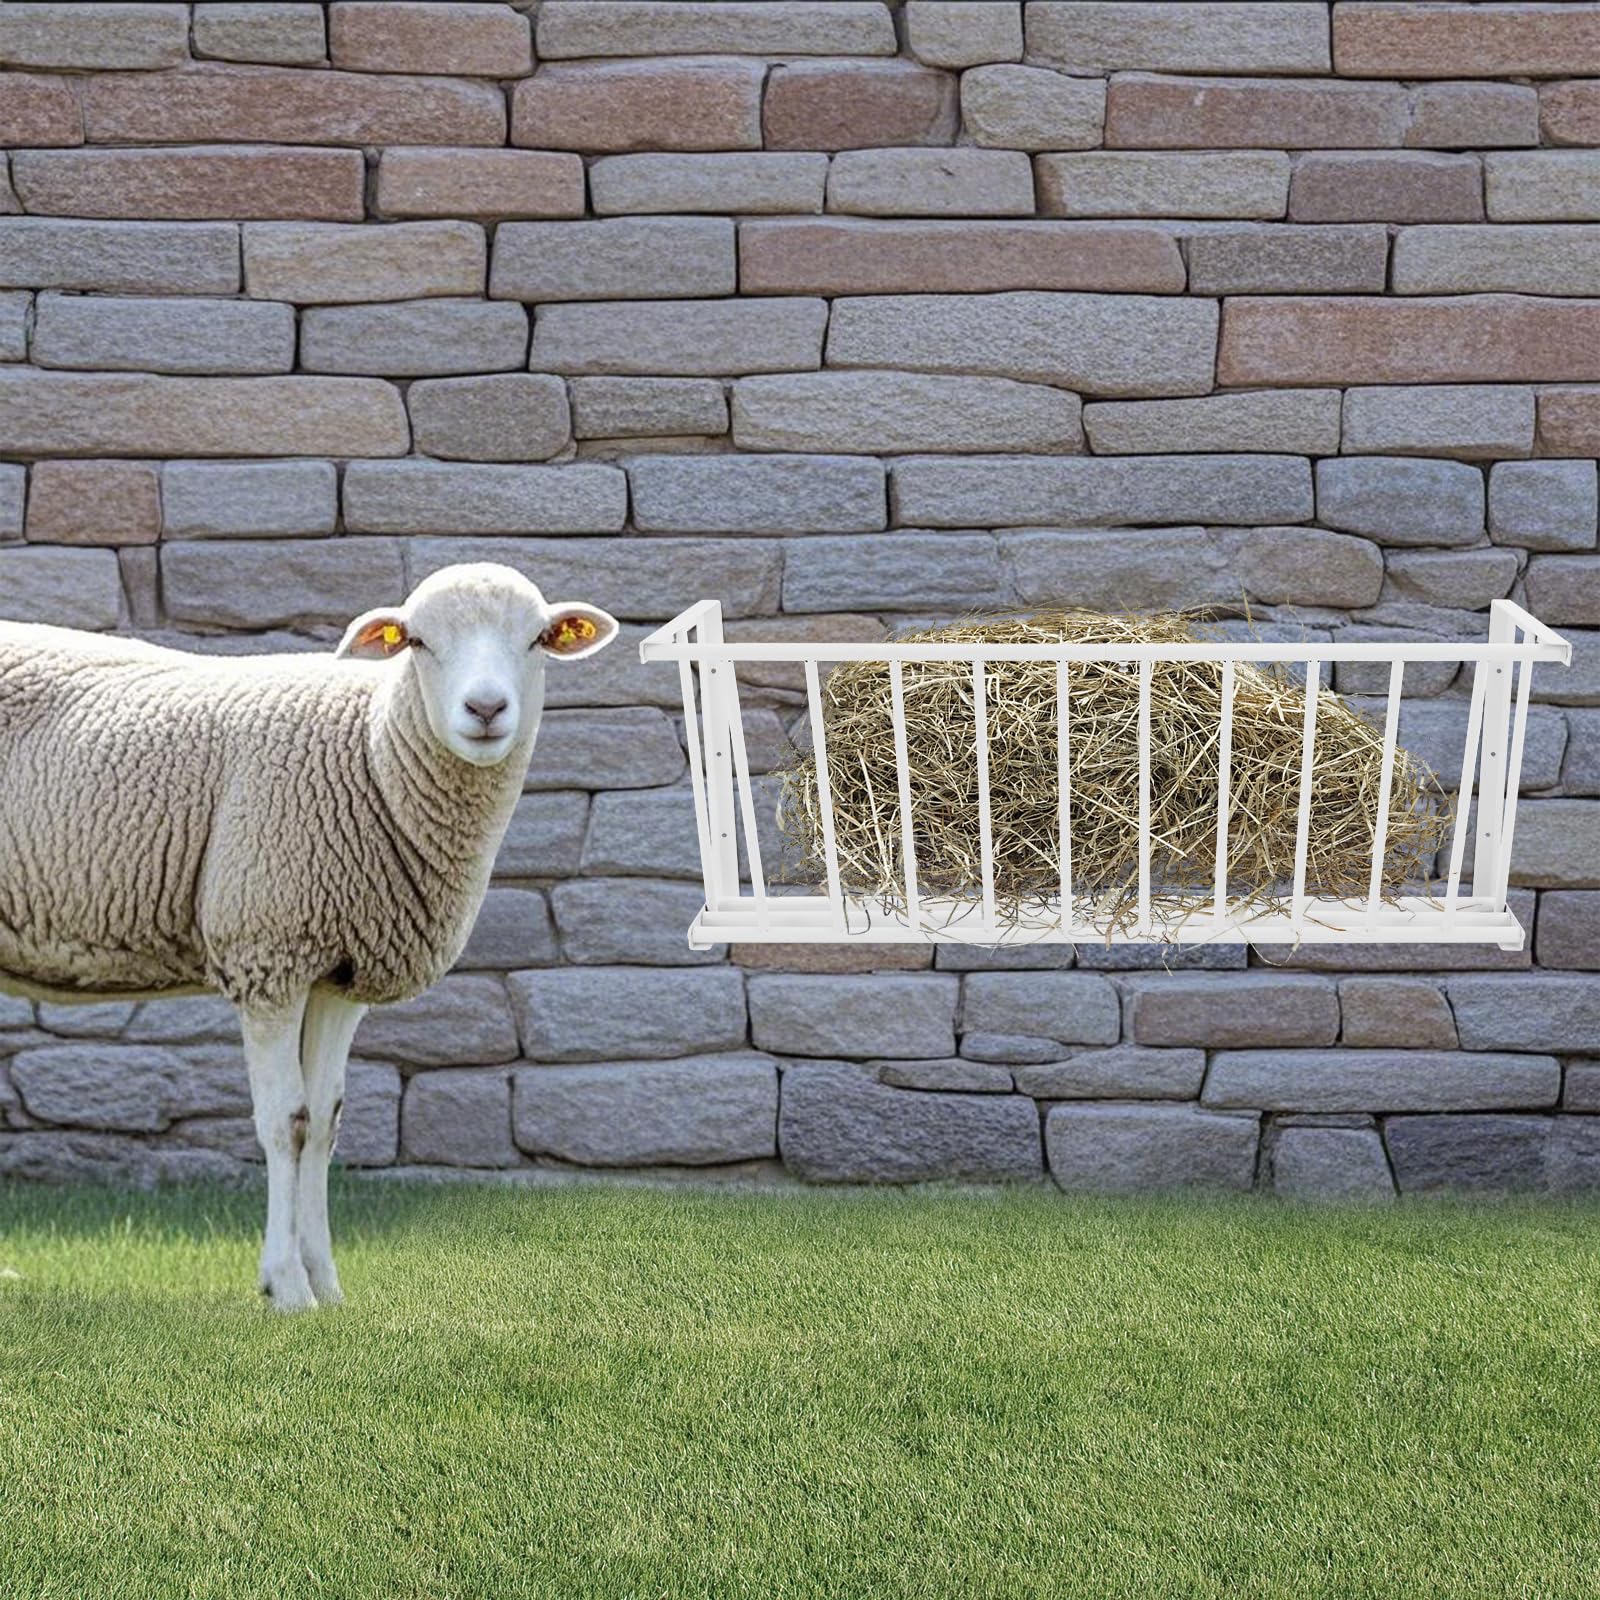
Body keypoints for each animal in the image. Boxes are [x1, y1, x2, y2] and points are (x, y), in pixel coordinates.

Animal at [0, 563, 617, 1310]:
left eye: (536, 640)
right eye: (418, 641)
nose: (487, 709)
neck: (373, 752)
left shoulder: (341, 973)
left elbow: (325, 1123)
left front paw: (327, 1289)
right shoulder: (269, 951)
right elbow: (284, 1123)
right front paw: (286, 1288)